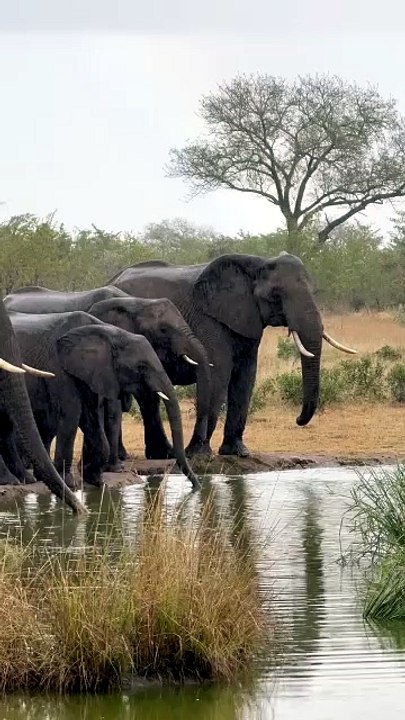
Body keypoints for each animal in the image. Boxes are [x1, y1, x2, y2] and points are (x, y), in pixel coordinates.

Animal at [9, 310, 199, 488]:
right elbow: (72, 413)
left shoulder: (94, 372)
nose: (196, 486)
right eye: (141, 367)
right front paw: (70, 483)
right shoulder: (58, 367)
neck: (110, 334)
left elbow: (91, 416)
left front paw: (95, 480)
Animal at [109, 253, 357, 457]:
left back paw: (161, 455)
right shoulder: (209, 320)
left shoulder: (248, 321)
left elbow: (246, 378)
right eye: (276, 295)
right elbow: (218, 373)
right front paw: (200, 455)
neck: (256, 265)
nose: (298, 420)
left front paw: (237, 452)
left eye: (315, 292)